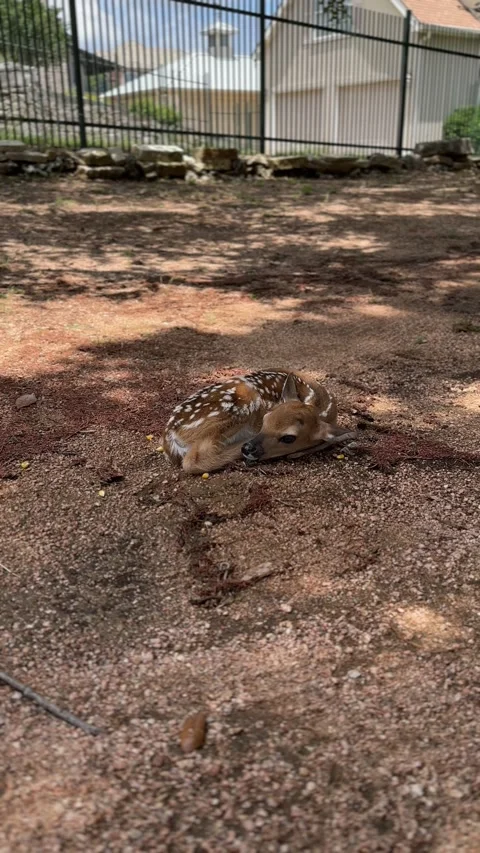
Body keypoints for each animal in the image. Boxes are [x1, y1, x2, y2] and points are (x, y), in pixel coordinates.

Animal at [163, 370, 355, 475]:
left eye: (289, 438)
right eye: (265, 419)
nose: (248, 448)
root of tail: (170, 435)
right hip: (243, 400)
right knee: (193, 460)